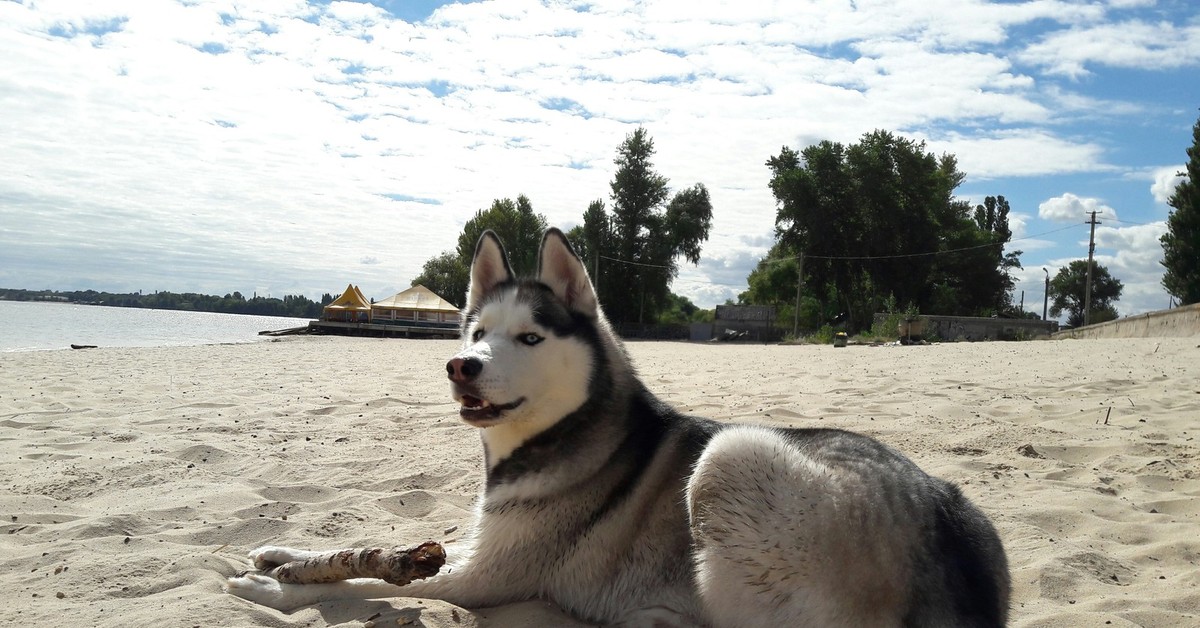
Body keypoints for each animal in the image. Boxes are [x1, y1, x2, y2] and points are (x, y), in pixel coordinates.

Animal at [226, 228, 1012, 624]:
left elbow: (367, 588)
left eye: (530, 338)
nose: (461, 366)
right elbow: (369, 548)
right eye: (476, 332)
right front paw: (280, 553)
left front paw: (277, 592)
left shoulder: (484, 576)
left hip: (732, 454)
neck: (558, 438)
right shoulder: (475, 542)